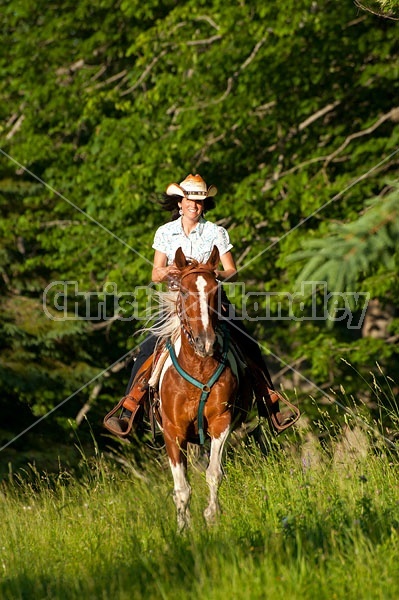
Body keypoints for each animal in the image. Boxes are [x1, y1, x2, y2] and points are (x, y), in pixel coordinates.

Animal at [150, 244, 253, 528]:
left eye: (215, 291)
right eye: (184, 291)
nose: (205, 342)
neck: (198, 366)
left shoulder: (221, 421)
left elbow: (214, 473)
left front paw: (212, 516)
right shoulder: (172, 432)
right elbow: (181, 489)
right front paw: (183, 529)